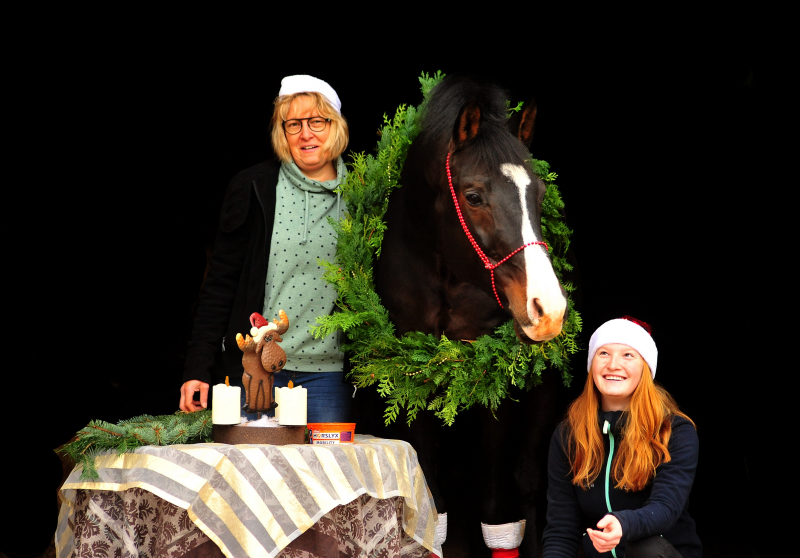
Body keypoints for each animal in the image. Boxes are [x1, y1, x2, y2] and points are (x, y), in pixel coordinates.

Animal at [374, 75, 568, 558]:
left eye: (538, 194)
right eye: (474, 195)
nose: (549, 309)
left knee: (529, 485)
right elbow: (432, 511)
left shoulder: (492, 386)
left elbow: (499, 515)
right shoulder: (408, 380)